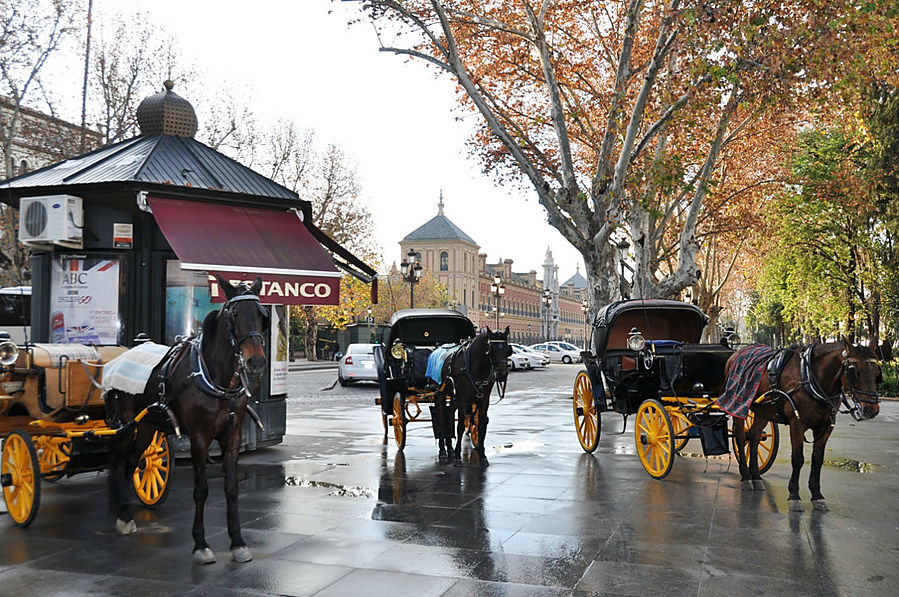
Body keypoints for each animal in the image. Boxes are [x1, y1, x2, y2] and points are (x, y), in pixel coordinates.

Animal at [106, 274, 268, 564]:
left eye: (261, 315)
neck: (216, 378)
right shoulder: (199, 438)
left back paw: (124, 509)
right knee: (118, 461)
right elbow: (201, 489)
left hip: (146, 426)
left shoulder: (232, 436)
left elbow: (231, 488)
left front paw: (238, 542)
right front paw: (200, 543)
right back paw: (122, 515)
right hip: (126, 424)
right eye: (235, 314)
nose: (257, 362)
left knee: (132, 462)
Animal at [438, 326, 512, 466]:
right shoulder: (463, 400)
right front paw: (458, 457)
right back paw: (443, 450)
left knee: (449, 415)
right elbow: (460, 427)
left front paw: (482, 455)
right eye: (491, 351)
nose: (502, 374)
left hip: (454, 398)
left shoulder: (484, 400)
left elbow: (481, 424)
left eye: (507, 350)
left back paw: (449, 448)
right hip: (441, 394)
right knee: (442, 416)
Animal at [728, 338, 884, 510]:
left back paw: (755, 476)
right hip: (738, 405)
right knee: (740, 437)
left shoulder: (825, 427)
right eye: (854, 372)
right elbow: (798, 459)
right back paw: (746, 476)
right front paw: (794, 495)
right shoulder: (797, 423)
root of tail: (736, 353)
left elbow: (817, 459)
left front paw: (817, 495)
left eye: (877, 372)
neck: (809, 376)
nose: (871, 410)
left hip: (763, 410)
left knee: (754, 437)